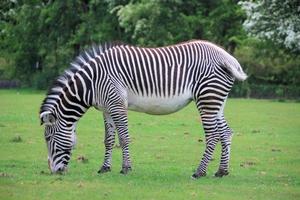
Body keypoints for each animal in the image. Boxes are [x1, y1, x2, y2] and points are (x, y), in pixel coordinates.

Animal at [39, 40, 246, 178]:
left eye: (48, 138)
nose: (54, 172)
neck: (92, 82)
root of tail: (228, 57)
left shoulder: (117, 105)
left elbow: (123, 138)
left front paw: (126, 168)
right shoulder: (106, 109)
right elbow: (108, 140)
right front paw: (105, 168)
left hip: (207, 99)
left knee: (213, 135)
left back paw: (200, 172)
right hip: (217, 101)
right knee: (226, 132)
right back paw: (222, 171)